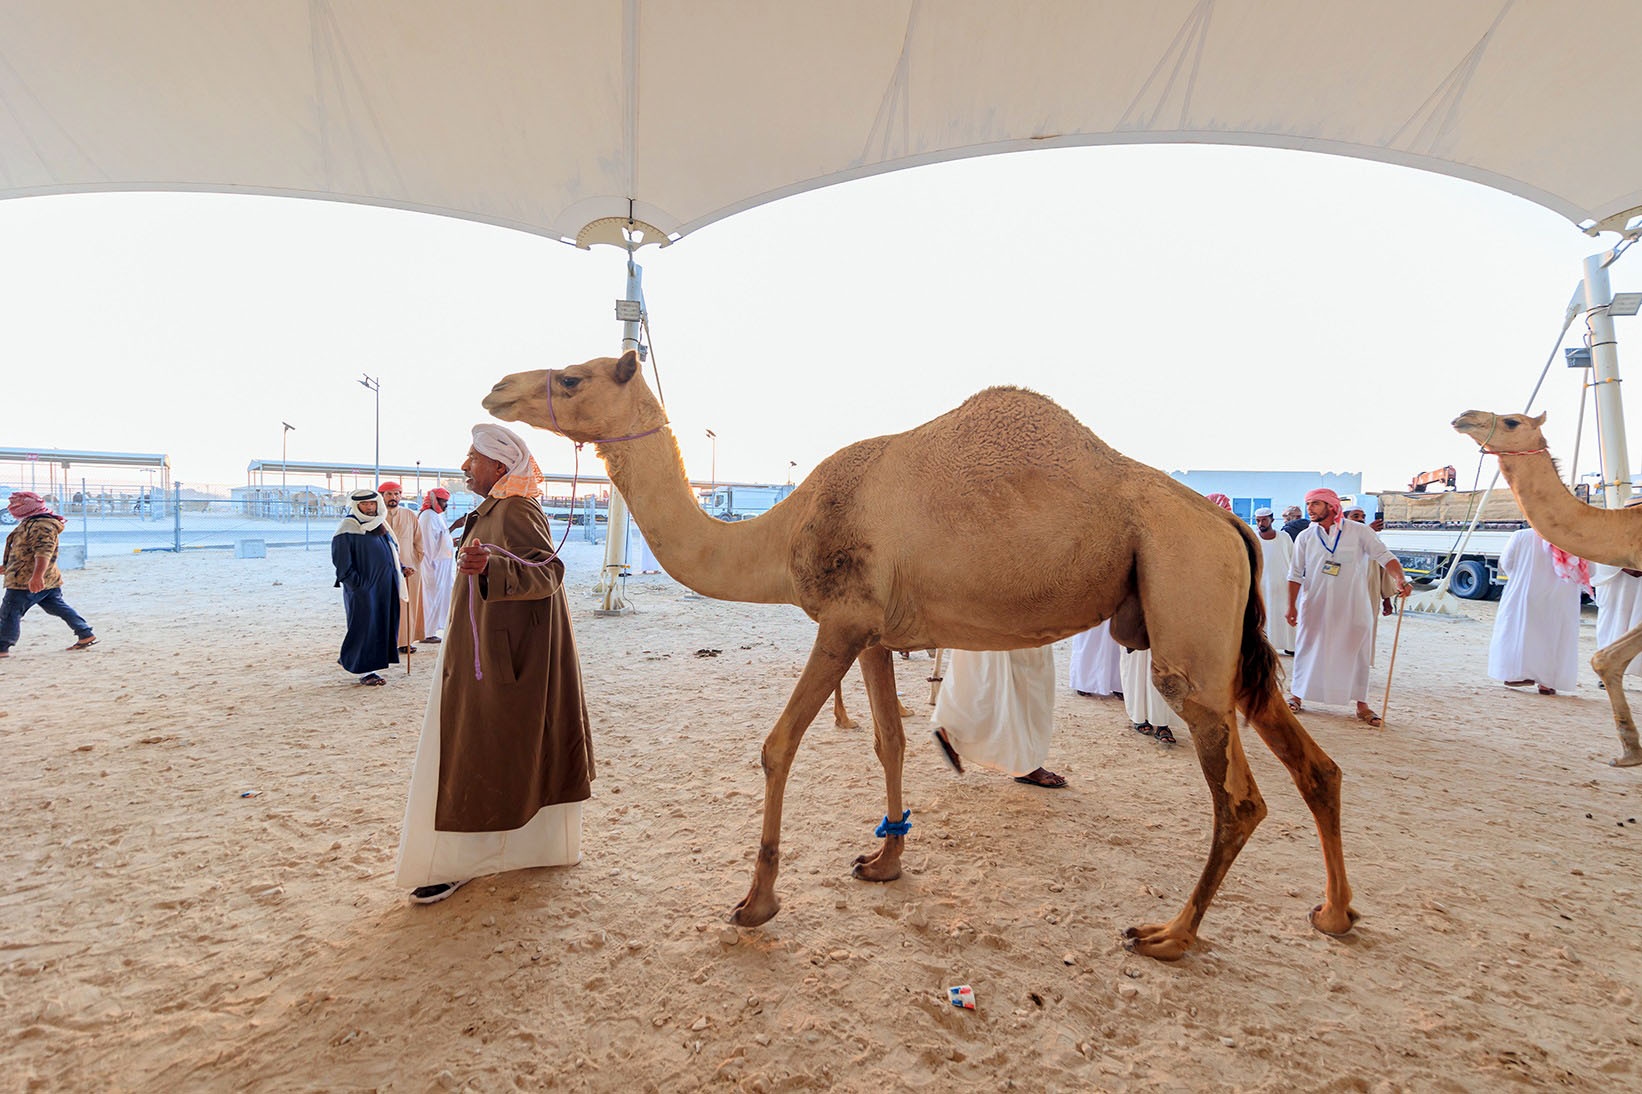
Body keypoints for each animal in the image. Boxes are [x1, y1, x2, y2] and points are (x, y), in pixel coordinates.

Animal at [483, 351, 1358, 959]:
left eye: (571, 375)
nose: (497, 391)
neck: (782, 532)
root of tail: (1229, 523)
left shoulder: (839, 621)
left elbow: (777, 746)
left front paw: (756, 902)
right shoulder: (874, 633)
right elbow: (890, 740)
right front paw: (885, 860)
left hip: (1185, 610)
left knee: (1238, 796)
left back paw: (1170, 934)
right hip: (1224, 643)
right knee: (1315, 766)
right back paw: (1335, 912)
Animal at [1452, 410, 1642, 767]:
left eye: (1512, 421)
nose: (1464, 416)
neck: (1629, 527)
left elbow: (1606, 658)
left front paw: (1630, 751)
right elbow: (1606, 658)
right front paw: (1630, 751)